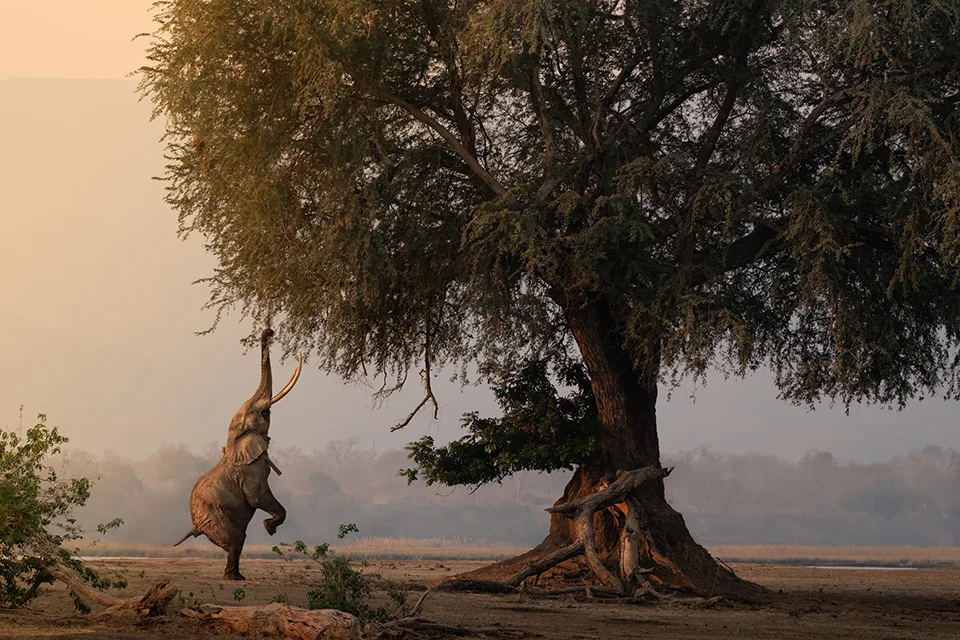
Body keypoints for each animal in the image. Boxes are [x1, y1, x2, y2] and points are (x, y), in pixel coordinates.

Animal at [173, 328, 302, 580]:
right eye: (265, 413)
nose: (269, 331)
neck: (233, 440)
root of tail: (196, 526)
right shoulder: (251, 471)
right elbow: (256, 497)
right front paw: (268, 528)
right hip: (214, 518)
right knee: (236, 540)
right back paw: (234, 579)